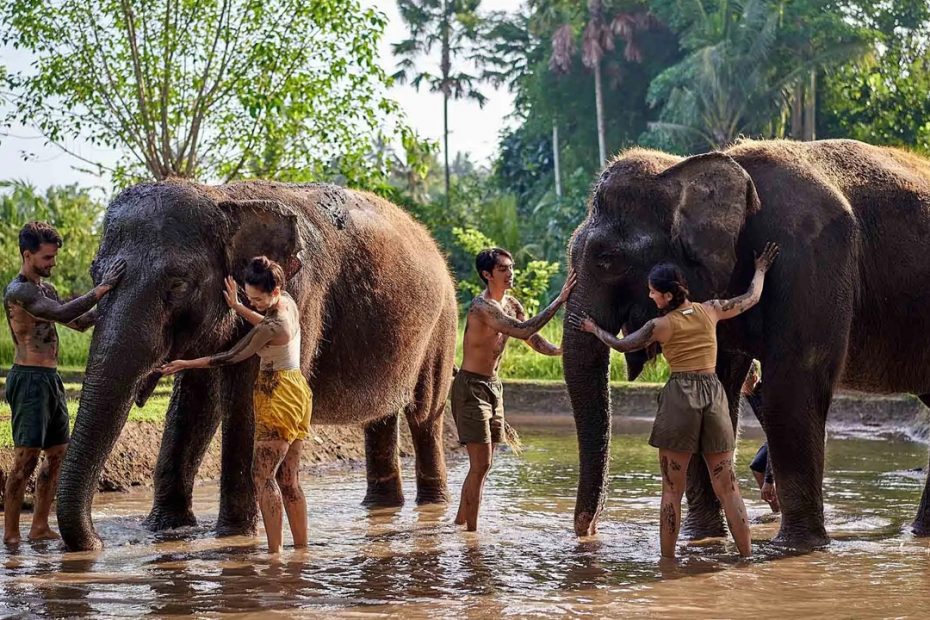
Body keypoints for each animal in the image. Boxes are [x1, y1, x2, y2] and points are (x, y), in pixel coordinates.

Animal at [56, 180, 457, 551]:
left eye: (177, 284)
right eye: (94, 274)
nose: (99, 542)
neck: (225, 198)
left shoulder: (301, 294)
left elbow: (248, 395)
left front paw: (232, 535)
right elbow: (195, 403)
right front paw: (167, 529)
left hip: (443, 323)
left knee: (424, 415)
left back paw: (432, 506)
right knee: (382, 417)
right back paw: (382, 506)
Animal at [563, 138, 930, 550]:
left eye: (607, 259)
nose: (590, 531)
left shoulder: (811, 258)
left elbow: (792, 386)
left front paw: (795, 548)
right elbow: (720, 387)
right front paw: (703, 539)